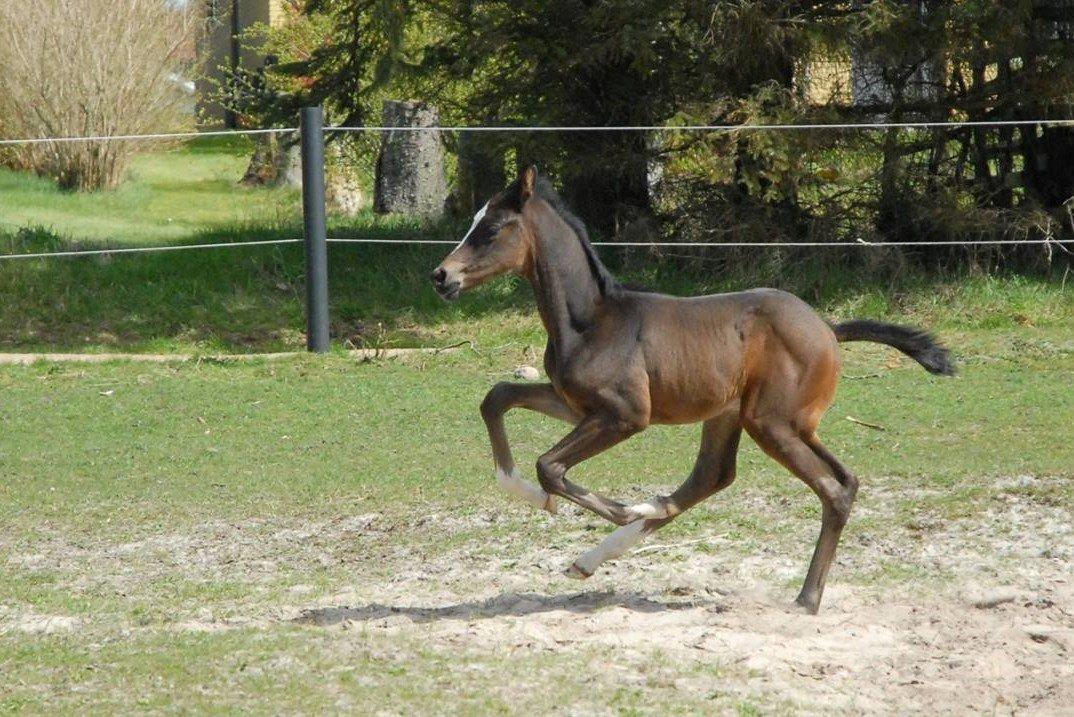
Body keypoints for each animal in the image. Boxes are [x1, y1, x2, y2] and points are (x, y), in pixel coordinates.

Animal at [431, 166, 953, 609]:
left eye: (491, 228)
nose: (441, 276)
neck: (590, 321)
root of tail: (827, 328)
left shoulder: (625, 415)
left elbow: (550, 466)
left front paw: (617, 508)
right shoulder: (575, 404)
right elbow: (497, 398)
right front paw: (530, 492)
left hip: (772, 423)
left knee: (831, 488)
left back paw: (804, 598)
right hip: (744, 417)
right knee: (728, 476)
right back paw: (605, 549)